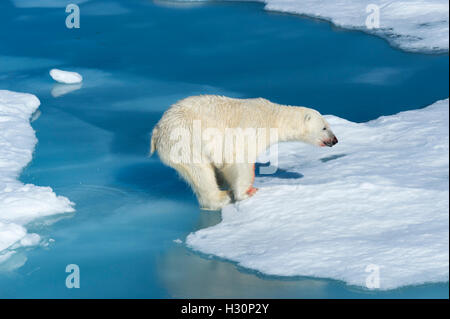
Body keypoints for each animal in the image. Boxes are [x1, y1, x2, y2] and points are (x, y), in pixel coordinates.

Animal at [151, 95, 338, 210]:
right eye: (324, 127)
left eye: (328, 125)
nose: (335, 140)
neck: (272, 118)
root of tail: (158, 129)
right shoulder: (251, 131)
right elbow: (240, 161)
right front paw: (247, 192)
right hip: (185, 139)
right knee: (200, 171)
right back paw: (222, 197)